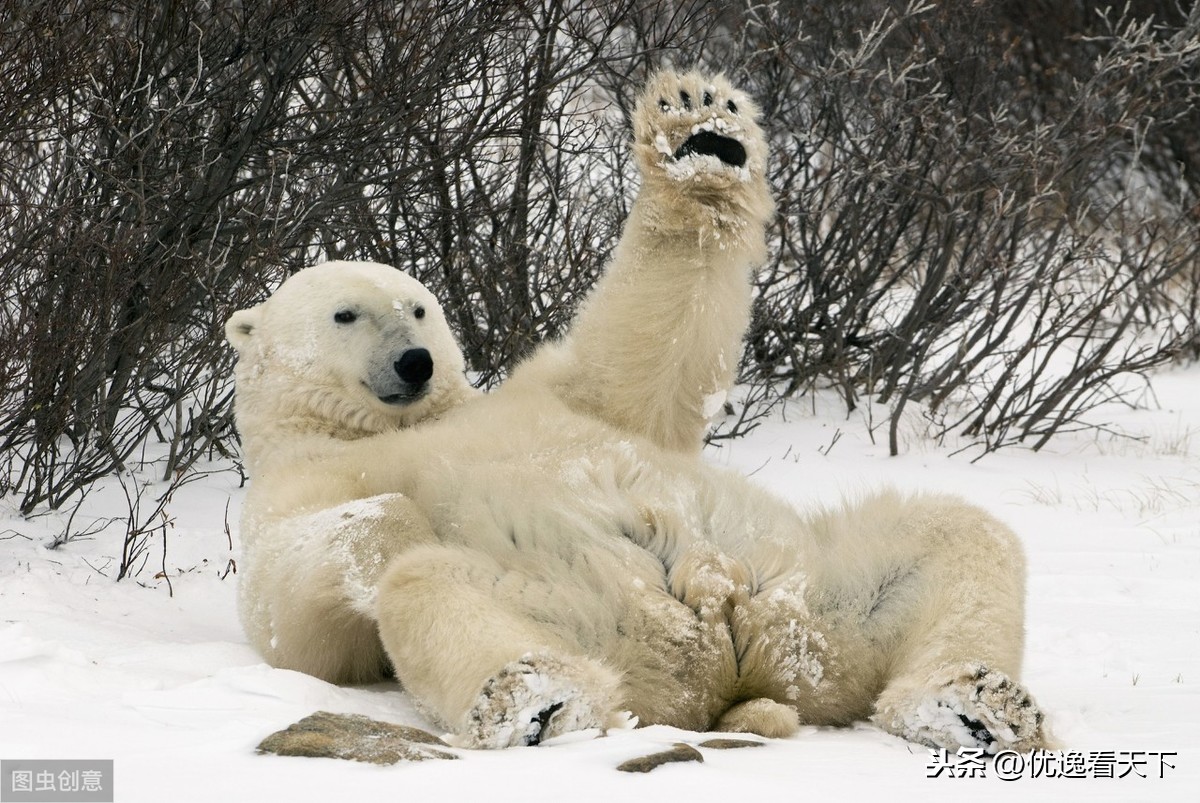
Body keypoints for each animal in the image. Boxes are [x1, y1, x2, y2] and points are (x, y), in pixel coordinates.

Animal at [226, 69, 1051, 753]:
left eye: (420, 307)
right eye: (345, 314)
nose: (415, 362)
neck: (400, 421)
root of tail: (731, 662)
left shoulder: (567, 394)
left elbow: (644, 354)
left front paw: (702, 133)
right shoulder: (289, 487)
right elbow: (297, 616)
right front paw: (390, 523)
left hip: (819, 595)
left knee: (956, 535)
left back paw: (979, 704)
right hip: (577, 609)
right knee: (428, 589)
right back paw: (536, 699)